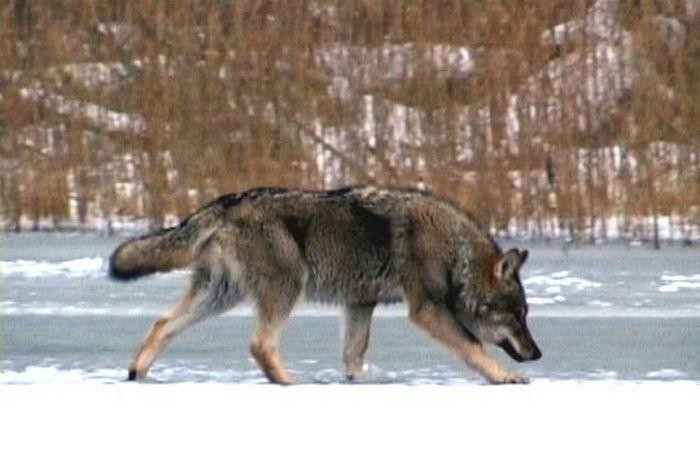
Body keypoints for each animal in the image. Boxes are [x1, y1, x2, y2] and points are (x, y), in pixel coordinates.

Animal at [110, 186, 540, 384]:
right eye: (517, 316)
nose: (537, 353)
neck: (455, 252)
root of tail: (227, 201)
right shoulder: (426, 310)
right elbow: (473, 347)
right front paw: (505, 377)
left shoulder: (360, 304)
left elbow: (354, 354)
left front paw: (362, 381)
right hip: (286, 288)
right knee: (260, 345)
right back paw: (288, 383)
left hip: (220, 295)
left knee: (162, 324)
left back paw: (138, 372)